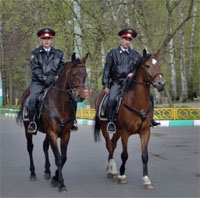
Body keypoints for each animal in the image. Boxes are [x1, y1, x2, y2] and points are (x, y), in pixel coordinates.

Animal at [16, 52, 88, 192]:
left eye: (85, 74)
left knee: (45, 146)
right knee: (30, 148)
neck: (60, 103)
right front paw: (61, 184)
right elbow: (58, 158)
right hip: (29, 131)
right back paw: (32, 173)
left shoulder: (65, 134)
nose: (80, 96)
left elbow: (63, 157)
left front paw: (55, 178)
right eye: (74, 74)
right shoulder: (52, 133)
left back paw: (47, 171)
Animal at [94, 48, 166, 189]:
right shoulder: (125, 133)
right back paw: (112, 170)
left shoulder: (145, 132)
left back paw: (113, 171)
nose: (161, 84)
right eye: (147, 66)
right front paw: (122, 176)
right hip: (107, 129)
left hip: (118, 131)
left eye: (159, 65)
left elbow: (145, 156)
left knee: (113, 144)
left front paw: (146, 179)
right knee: (109, 145)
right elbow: (124, 155)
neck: (137, 102)